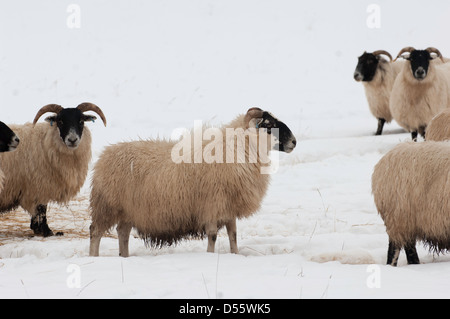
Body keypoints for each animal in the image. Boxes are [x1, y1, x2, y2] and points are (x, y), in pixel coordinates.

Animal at [0, 103, 106, 238]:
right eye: (60, 121)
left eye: (81, 121)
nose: (72, 140)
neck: (45, 143)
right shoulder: (38, 186)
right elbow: (41, 210)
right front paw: (46, 231)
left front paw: (39, 229)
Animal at [89, 107, 298, 258]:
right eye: (268, 124)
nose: (294, 142)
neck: (238, 148)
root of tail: (105, 155)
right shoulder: (213, 204)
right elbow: (212, 235)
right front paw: (210, 256)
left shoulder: (228, 205)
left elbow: (233, 235)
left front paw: (236, 255)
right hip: (107, 205)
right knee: (96, 231)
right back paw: (94, 257)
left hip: (127, 210)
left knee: (122, 233)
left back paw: (124, 257)